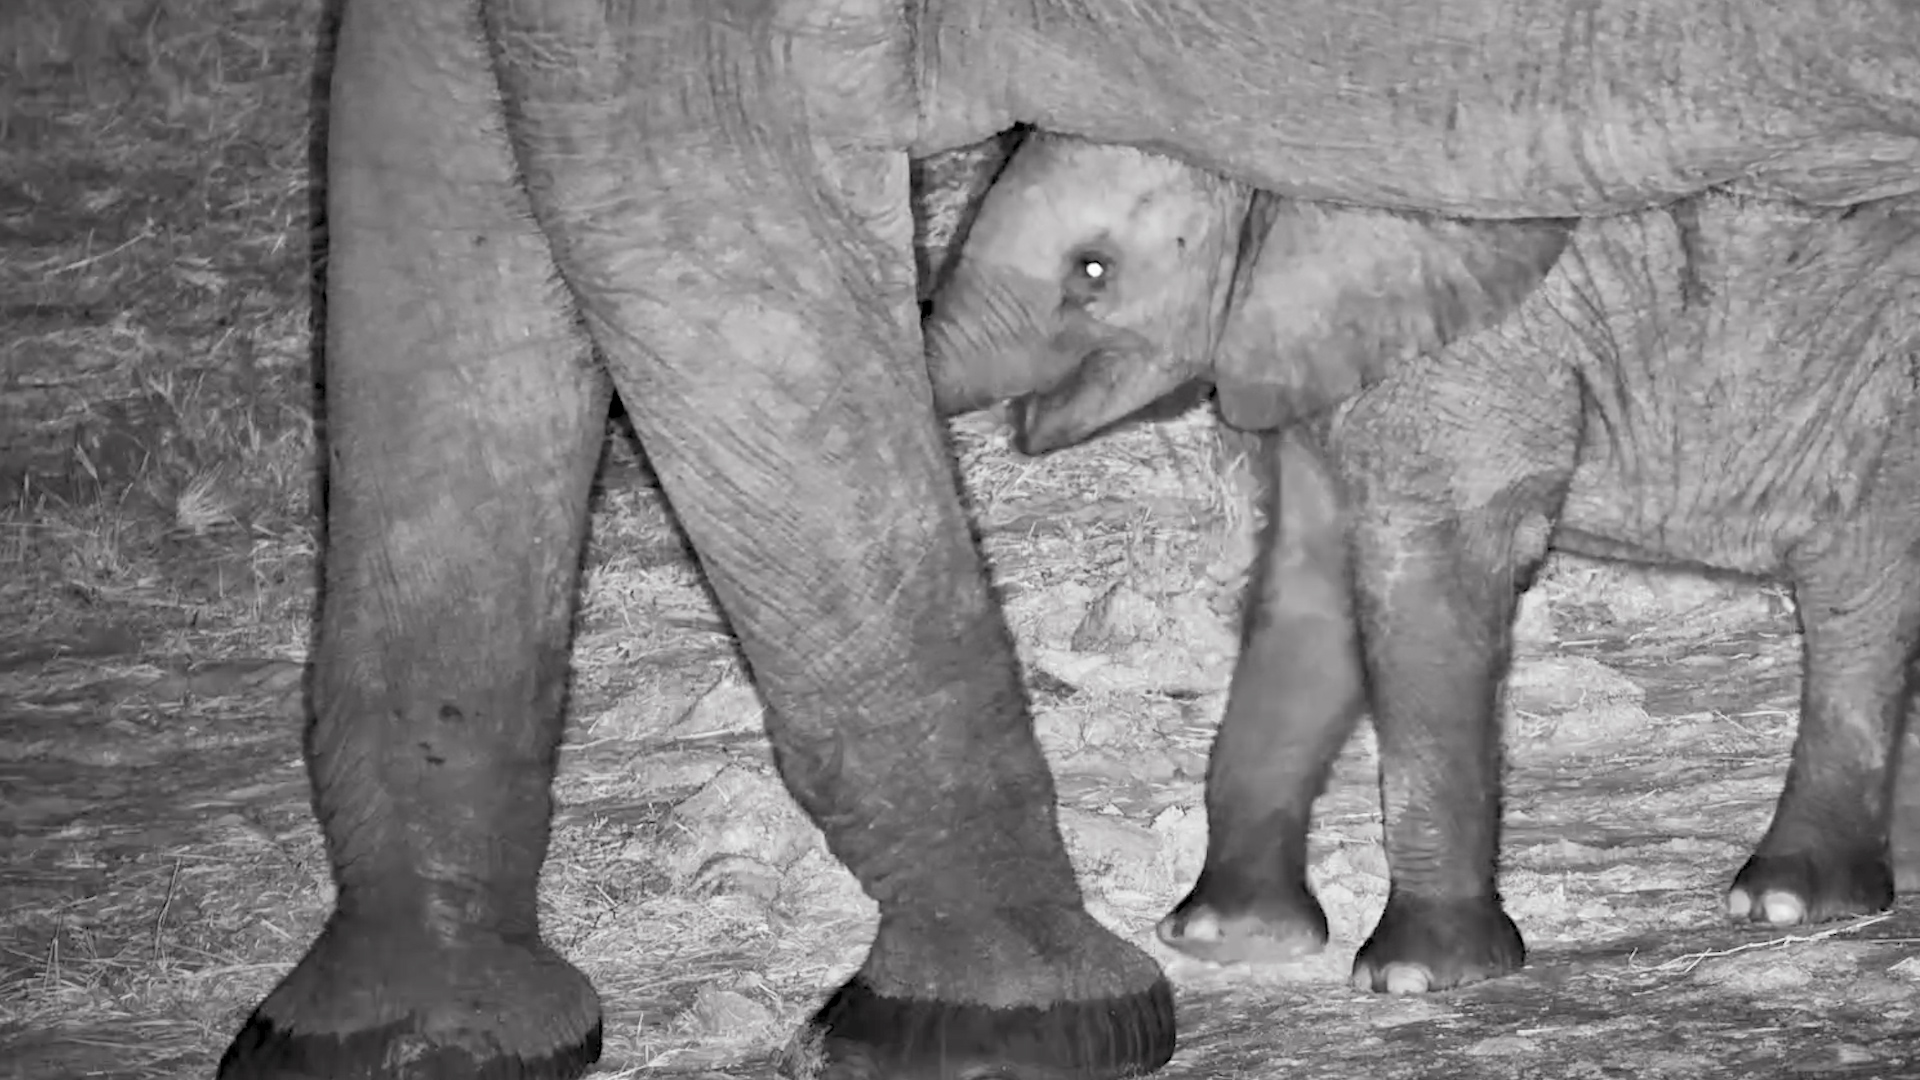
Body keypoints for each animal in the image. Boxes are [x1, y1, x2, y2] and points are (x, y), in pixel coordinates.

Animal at [923, 134, 1920, 992]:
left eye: (1091, 270)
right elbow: (1307, 591)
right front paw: (1225, 939)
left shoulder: (1469, 368)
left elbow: (1428, 584)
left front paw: (1416, 977)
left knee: (1856, 590)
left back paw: (1786, 901)